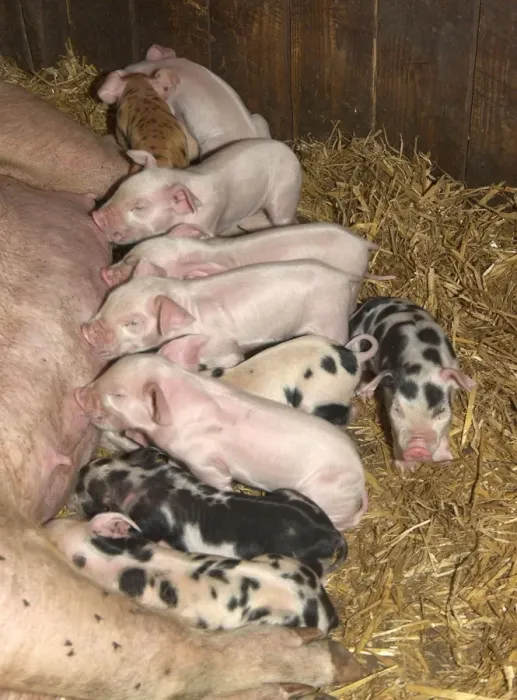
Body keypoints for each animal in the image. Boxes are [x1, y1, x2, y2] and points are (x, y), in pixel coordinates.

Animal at [71, 447, 348, 574]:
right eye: (100, 461)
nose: (80, 471)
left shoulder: (152, 522)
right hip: (290, 493)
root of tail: (330, 533)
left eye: (84, 488)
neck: (141, 481)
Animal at [74, 349, 368, 531]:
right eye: (109, 369)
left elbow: (217, 480)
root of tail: (360, 478)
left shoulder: (206, 462)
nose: (79, 393)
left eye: (119, 394)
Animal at [81, 260, 356, 366]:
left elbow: (232, 359)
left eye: (133, 322)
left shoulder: (223, 349)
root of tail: (343, 278)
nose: (86, 330)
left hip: (330, 321)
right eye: (109, 299)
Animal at [91, 138, 302, 243]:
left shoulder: (207, 222)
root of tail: (289, 151)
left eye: (140, 207)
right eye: (120, 187)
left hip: (285, 193)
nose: (96, 216)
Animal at [349, 297, 476, 471]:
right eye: (397, 409)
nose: (417, 449)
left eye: (441, 411)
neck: (421, 364)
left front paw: (445, 459)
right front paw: (406, 469)